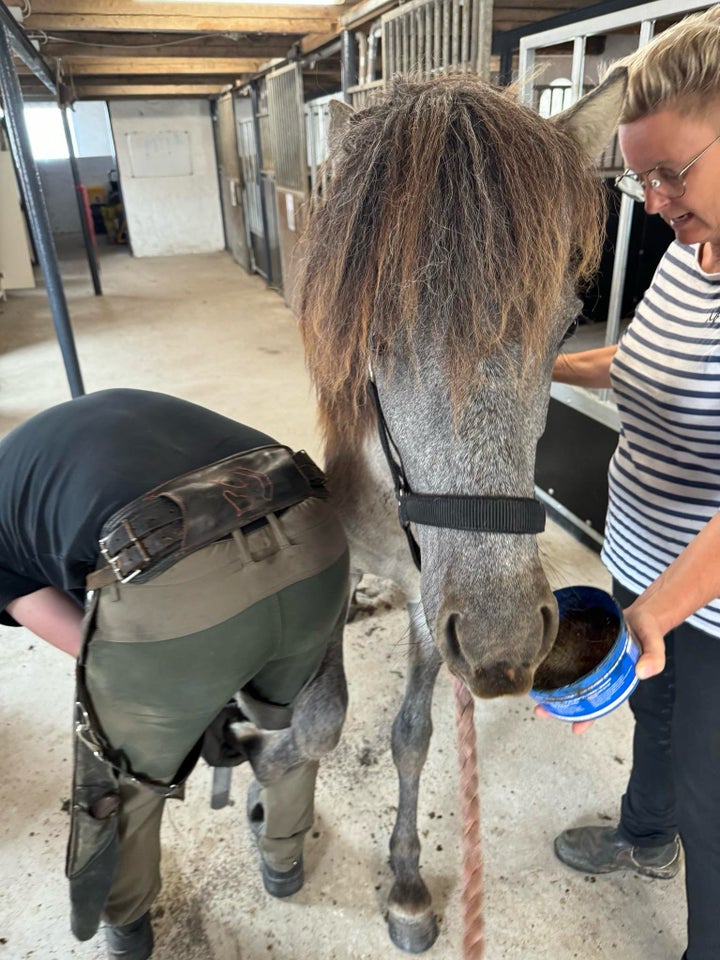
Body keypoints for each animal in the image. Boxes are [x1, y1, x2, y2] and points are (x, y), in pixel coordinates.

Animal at [235, 73, 624, 952]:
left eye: (562, 326)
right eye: (373, 328)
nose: (502, 646)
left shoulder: (429, 601)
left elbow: (411, 735)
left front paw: (408, 885)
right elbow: (319, 719)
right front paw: (260, 770)